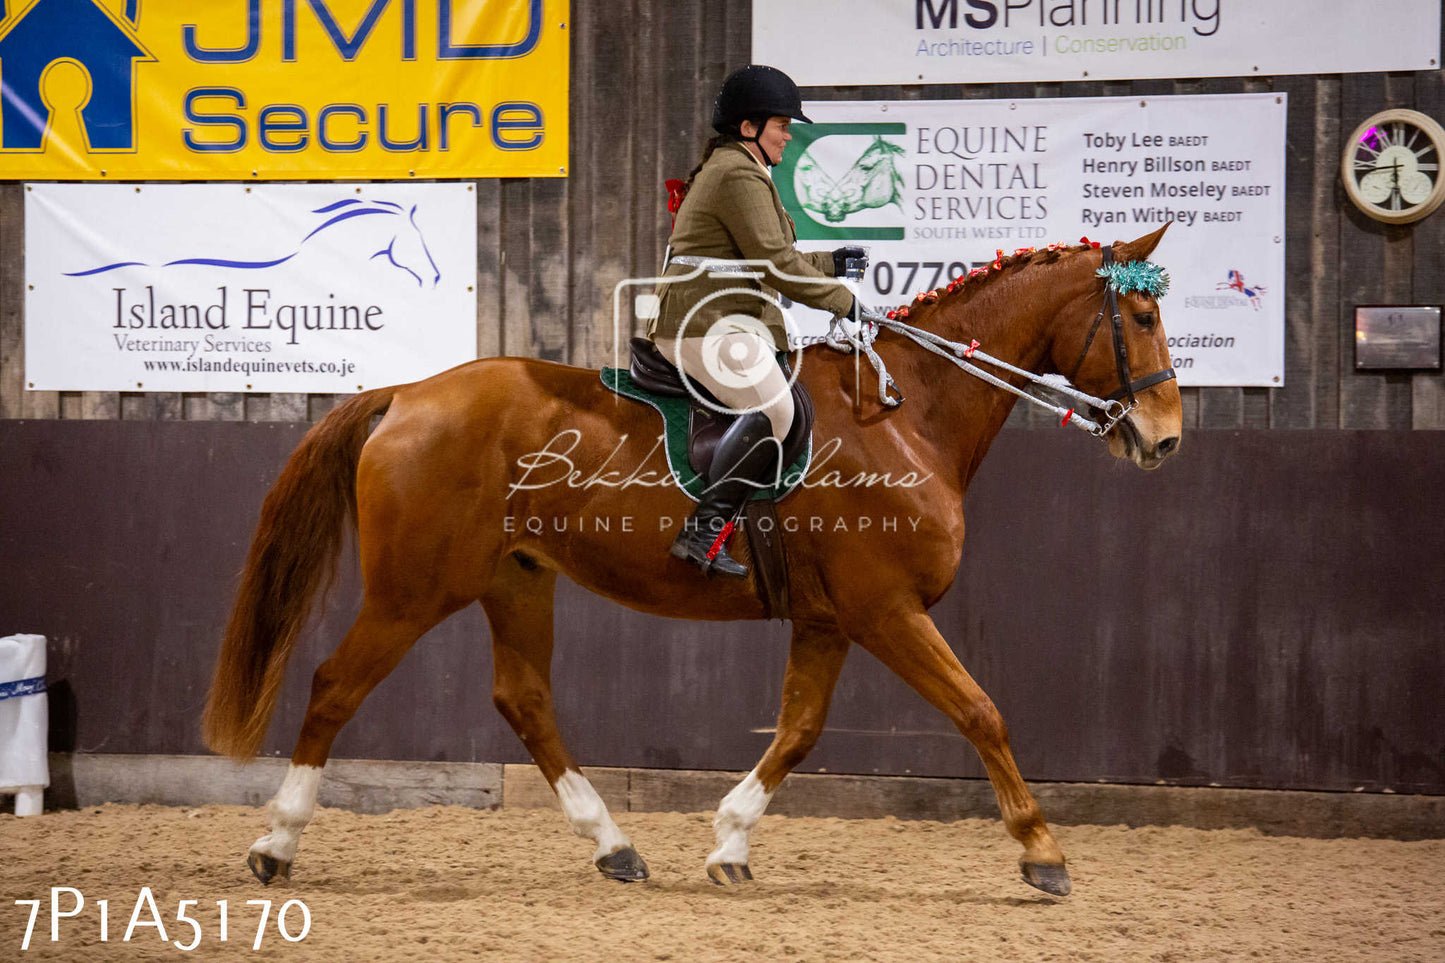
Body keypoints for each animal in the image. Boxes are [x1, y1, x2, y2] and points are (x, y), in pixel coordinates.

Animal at [203, 222, 1179, 890]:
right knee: (335, 685)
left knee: (524, 699)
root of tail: (406, 392)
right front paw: (1043, 852)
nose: (1162, 439)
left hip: (515, 579)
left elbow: (797, 730)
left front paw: (729, 841)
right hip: (412, 591)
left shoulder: (830, 620)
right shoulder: (886, 610)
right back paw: (273, 842)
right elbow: (981, 711)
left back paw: (615, 845)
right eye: (1138, 314)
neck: (910, 413)